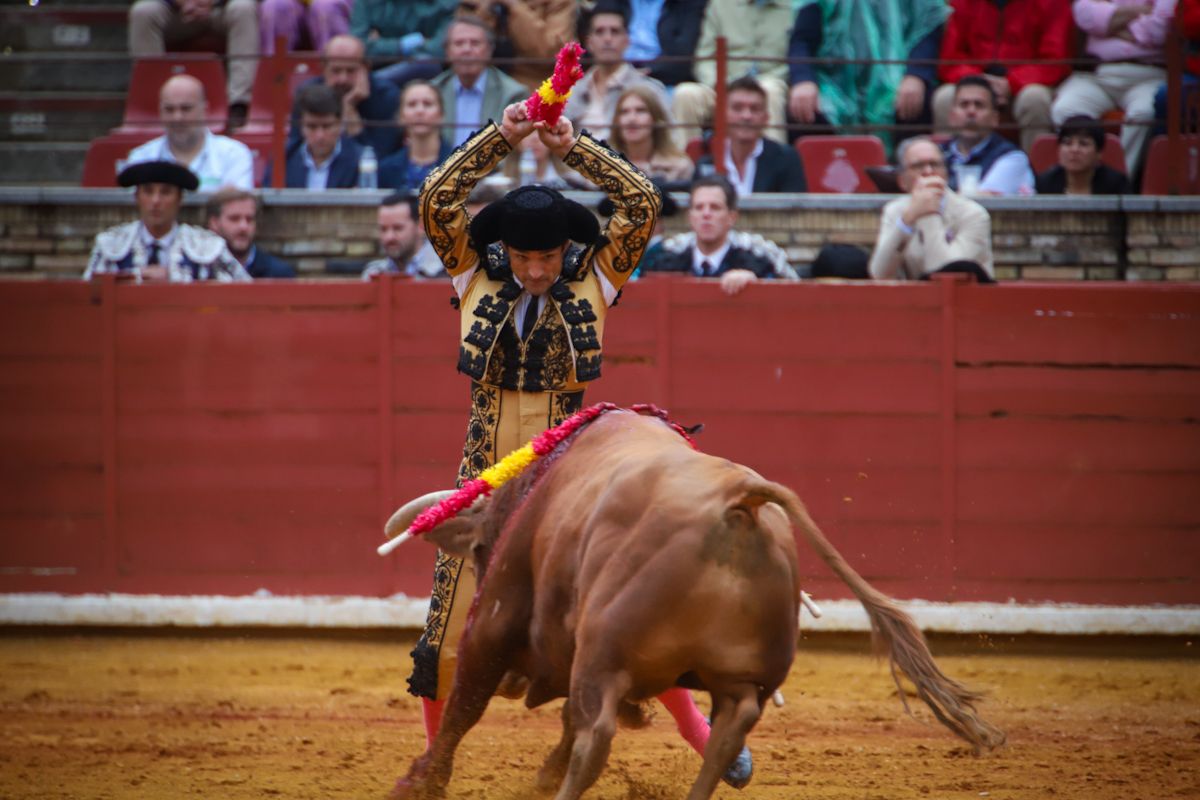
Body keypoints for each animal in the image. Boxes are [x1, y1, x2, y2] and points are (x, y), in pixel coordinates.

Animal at [384, 410, 1003, 800]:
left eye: (481, 552)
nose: (518, 685)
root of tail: (740, 500)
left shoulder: (496, 622)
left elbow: (465, 704)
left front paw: (420, 782)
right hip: (742, 675)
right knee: (728, 730)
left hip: (604, 652)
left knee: (595, 733)